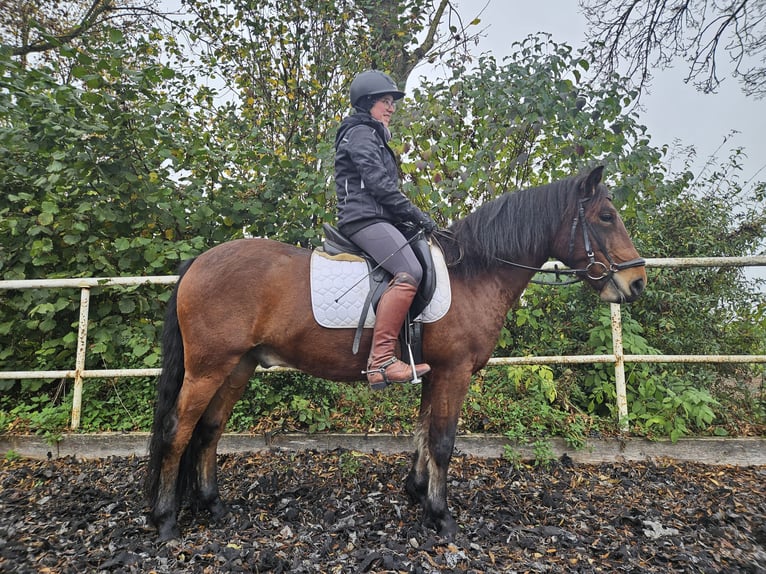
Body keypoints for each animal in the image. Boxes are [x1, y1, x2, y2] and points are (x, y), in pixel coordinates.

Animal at [144, 164, 648, 544]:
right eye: (606, 216)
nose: (637, 282)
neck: (474, 273)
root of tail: (198, 263)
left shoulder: (434, 372)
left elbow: (423, 433)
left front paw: (417, 492)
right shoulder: (454, 372)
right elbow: (442, 441)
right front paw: (442, 516)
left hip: (239, 366)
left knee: (208, 431)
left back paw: (213, 505)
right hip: (209, 368)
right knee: (177, 432)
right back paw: (166, 519)